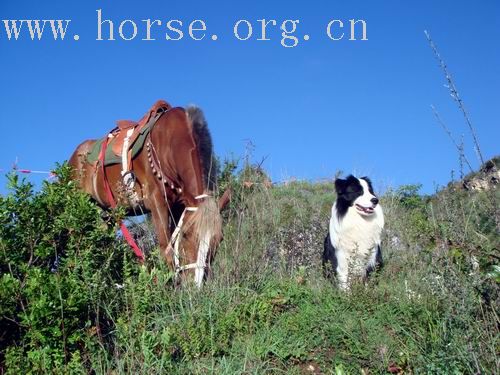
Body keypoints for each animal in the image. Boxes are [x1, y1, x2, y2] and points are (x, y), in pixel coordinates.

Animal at [69, 101, 229, 286]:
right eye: (187, 234)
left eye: (219, 239)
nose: (195, 285)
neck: (169, 143)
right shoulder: (157, 203)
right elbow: (166, 251)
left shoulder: (178, 207)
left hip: (106, 215)